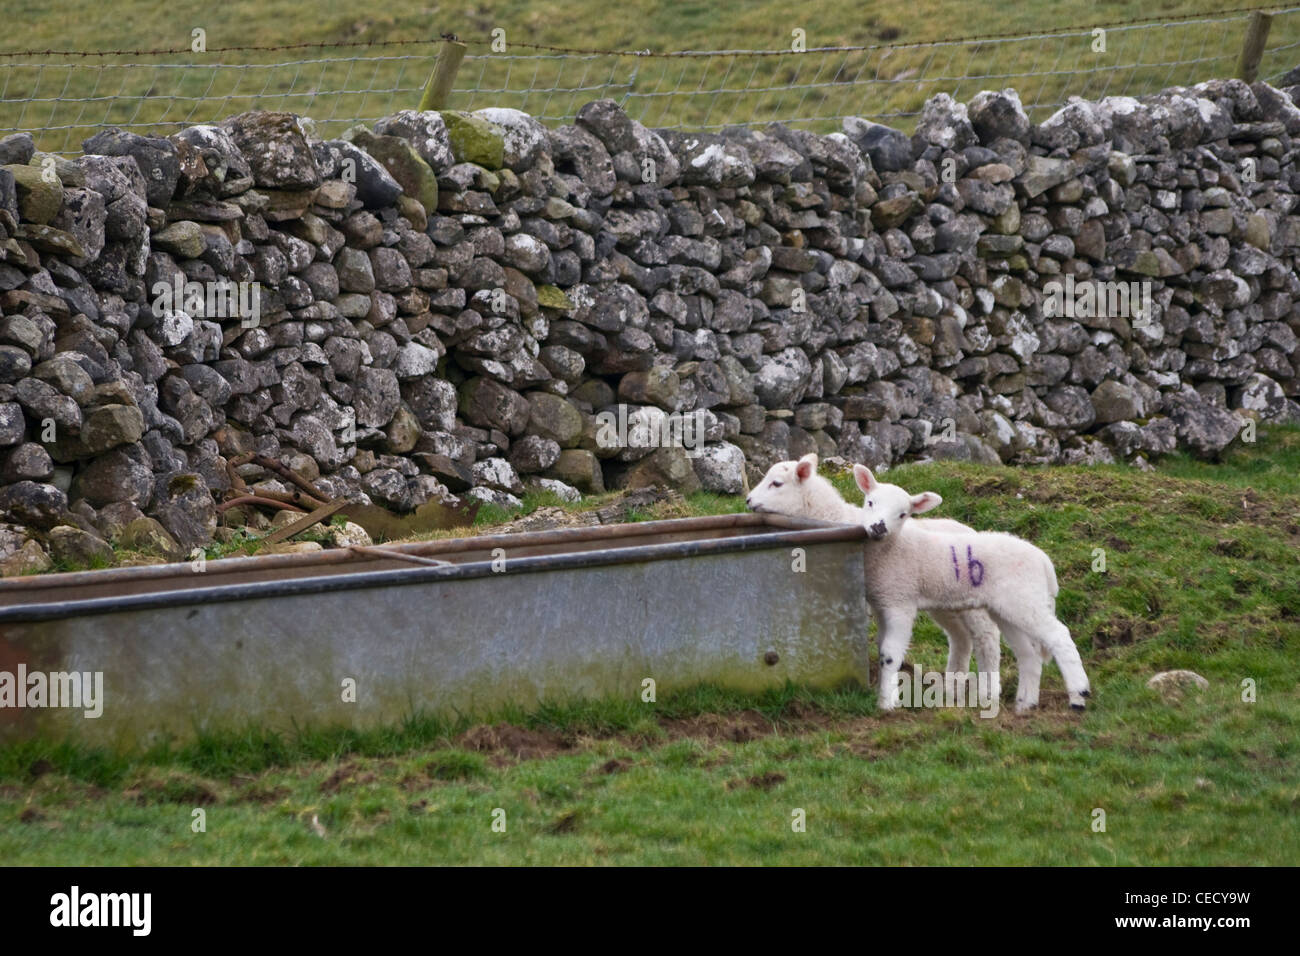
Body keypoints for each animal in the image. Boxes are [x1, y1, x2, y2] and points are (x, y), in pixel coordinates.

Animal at [743, 452, 1013, 697]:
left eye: (777, 483)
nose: (747, 500)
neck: (832, 517)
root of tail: (970, 529)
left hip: (974, 602)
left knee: (987, 635)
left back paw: (988, 691)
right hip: (945, 602)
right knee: (960, 638)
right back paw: (950, 688)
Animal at [852, 463, 1086, 712]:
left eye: (903, 514)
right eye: (870, 502)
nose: (878, 528)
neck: (893, 548)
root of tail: (1044, 561)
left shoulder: (900, 602)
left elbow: (890, 654)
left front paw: (886, 703)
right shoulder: (881, 603)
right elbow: (880, 646)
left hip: (1025, 600)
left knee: (1059, 635)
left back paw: (1079, 695)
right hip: (1009, 607)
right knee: (1028, 653)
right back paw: (1025, 703)